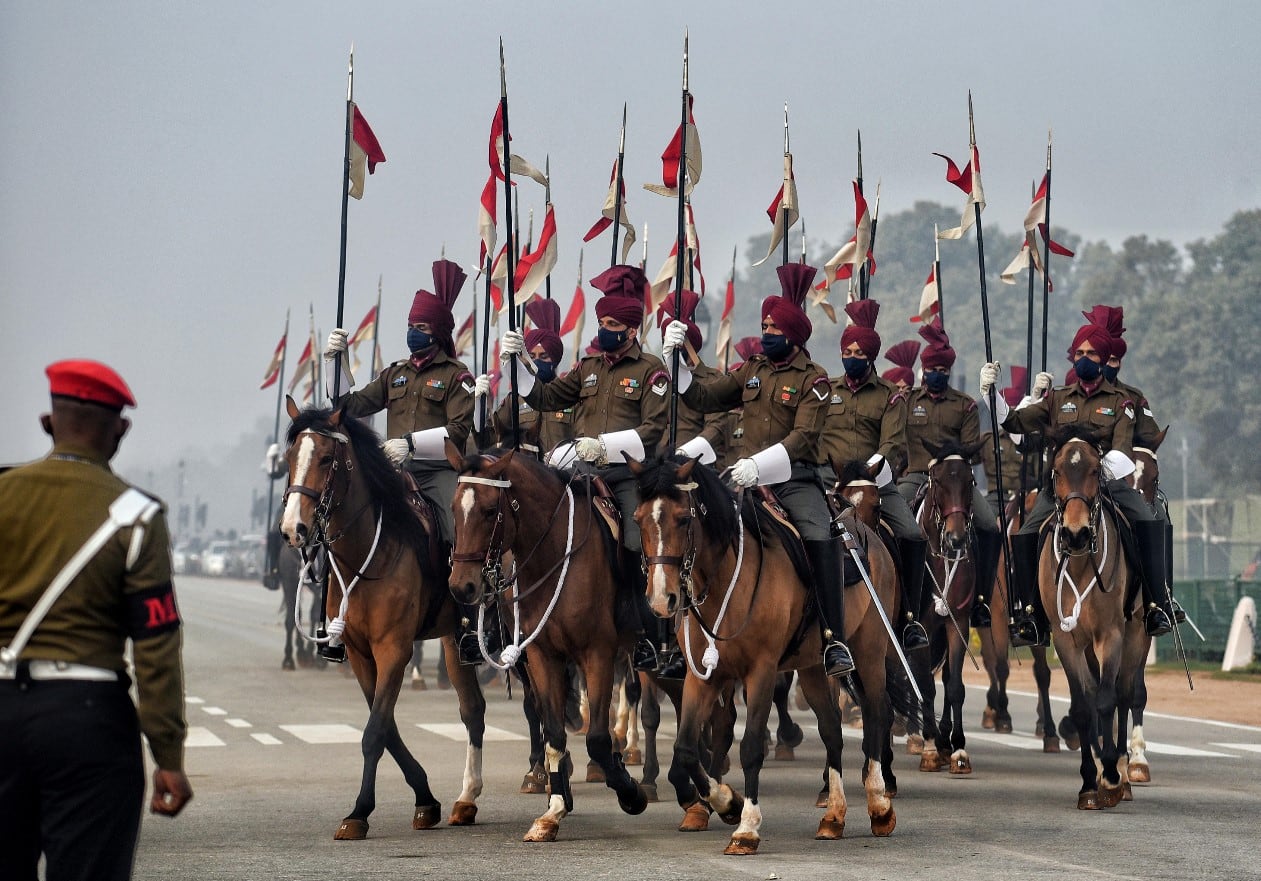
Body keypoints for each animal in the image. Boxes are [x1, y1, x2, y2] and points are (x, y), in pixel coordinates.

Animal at [279, 400, 486, 841]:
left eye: (326, 458)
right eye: (290, 459)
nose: (293, 529)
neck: (368, 554)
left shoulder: (394, 648)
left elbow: (375, 731)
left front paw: (359, 812)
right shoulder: (360, 652)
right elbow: (384, 723)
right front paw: (425, 799)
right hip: (452, 639)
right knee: (472, 709)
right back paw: (467, 798)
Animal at [446, 448, 645, 841]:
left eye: (489, 510)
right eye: (453, 508)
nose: (462, 586)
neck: (552, 557)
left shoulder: (597, 653)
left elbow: (597, 739)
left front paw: (630, 791)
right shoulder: (541, 655)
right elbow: (552, 728)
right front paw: (554, 809)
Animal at [635, 453, 912, 857]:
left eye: (683, 518)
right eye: (638, 519)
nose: (660, 599)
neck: (726, 580)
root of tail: (865, 532)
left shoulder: (761, 671)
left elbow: (750, 746)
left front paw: (746, 828)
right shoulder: (702, 677)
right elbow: (686, 747)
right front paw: (727, 803)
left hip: (871, 651)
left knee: (877, 712)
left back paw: (879, 805)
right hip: (814, 667)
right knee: (832, 730)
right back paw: (833, 816)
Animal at [1039, 431, 1150, 811]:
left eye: (1093, 471)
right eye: (1057, 471)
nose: (1075, 534)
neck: (1078, 563)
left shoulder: (1110, 635)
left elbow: (1106, 700)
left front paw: (1112, 777)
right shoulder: (1066, 641)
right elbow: (1084, 707)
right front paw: (1089, 783)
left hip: (1136, 636)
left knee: (1124, 693)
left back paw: (1123, 773)